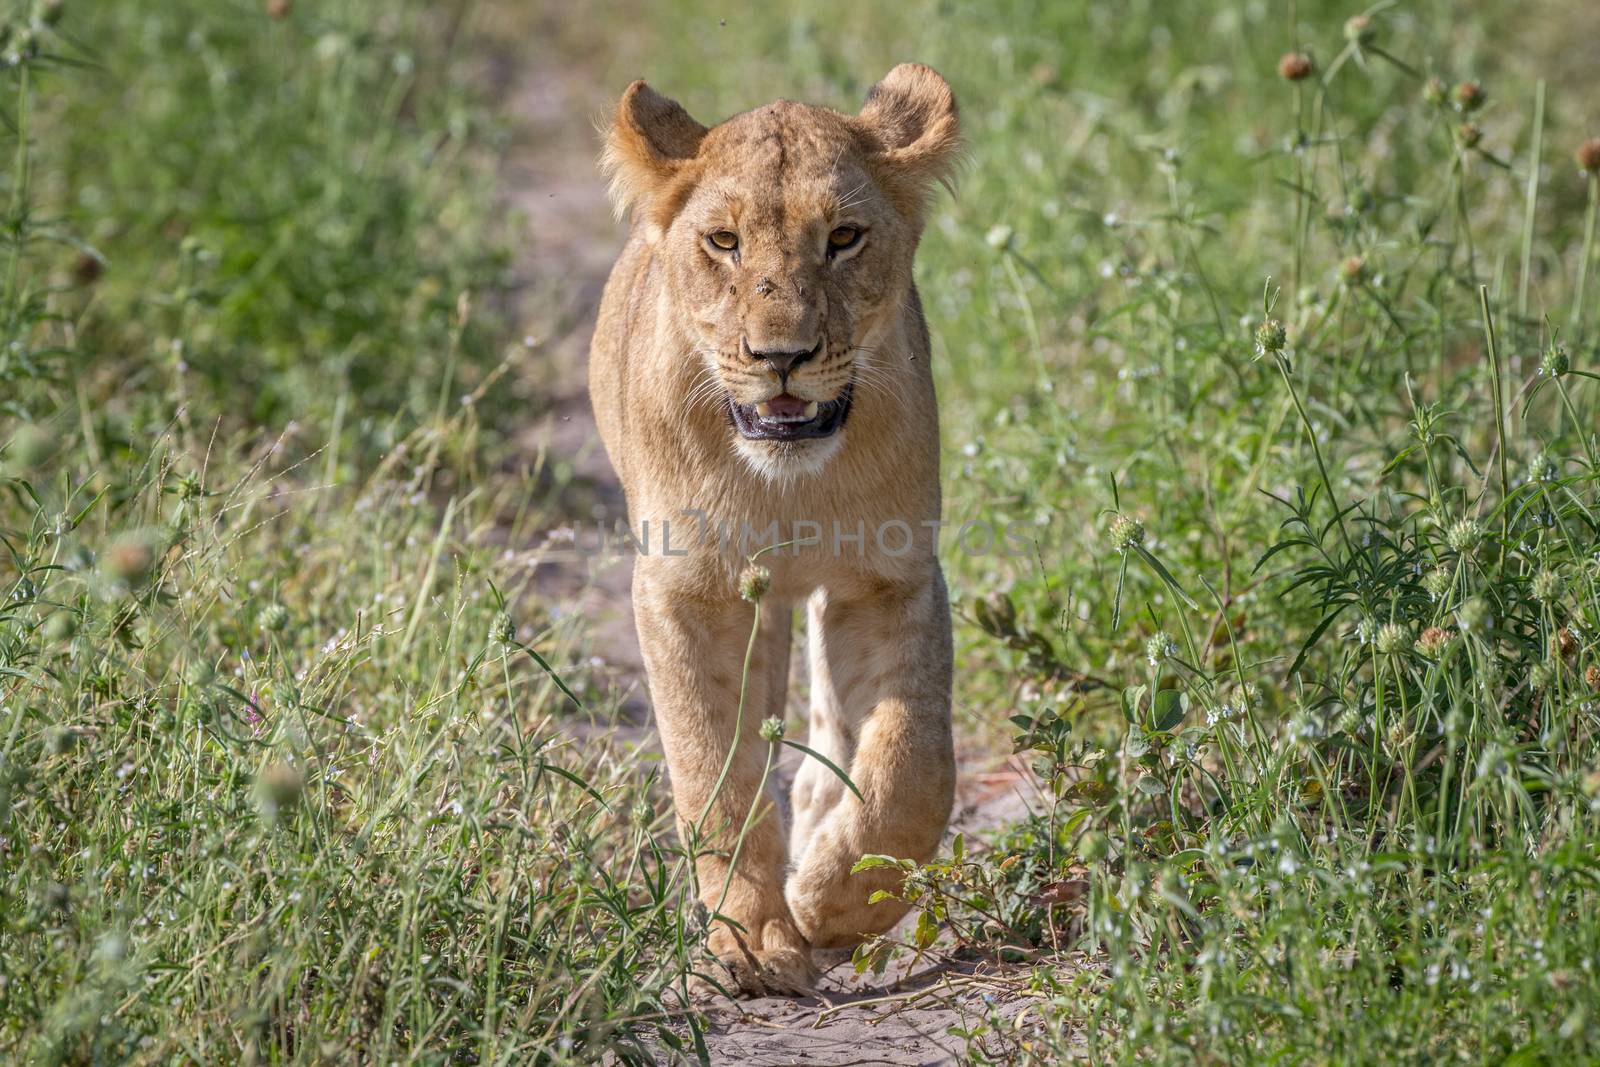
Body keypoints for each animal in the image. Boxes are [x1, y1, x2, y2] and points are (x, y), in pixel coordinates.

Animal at [588, 62, 960, 998]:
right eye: (723, 242)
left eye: (845, 237)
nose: (780, 356)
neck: (787, 482)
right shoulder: (685, 589)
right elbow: (711, 768)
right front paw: (754, 940)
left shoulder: (891, 574)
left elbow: (913, 766)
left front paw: (835, 900)